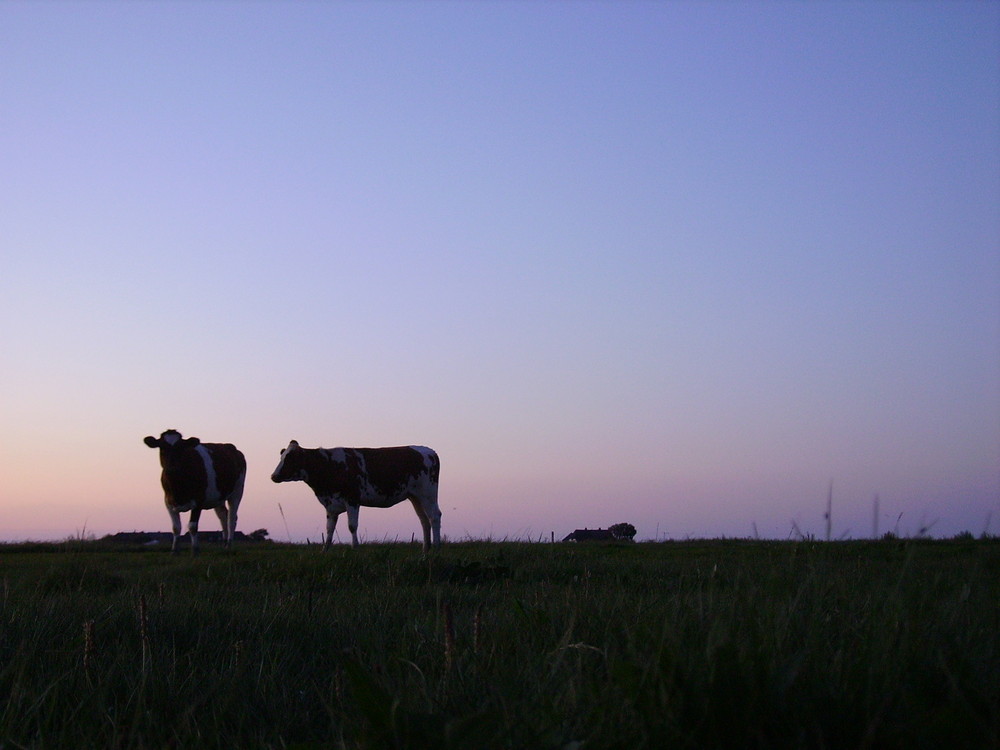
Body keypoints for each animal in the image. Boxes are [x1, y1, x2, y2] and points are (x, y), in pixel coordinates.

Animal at [272, 440, 440, 552]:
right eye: (282, 457)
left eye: (290, 458)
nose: (273, 476)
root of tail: (429, 451)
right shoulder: (331, 505)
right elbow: (329, 528)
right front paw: (325, 550)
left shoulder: (352, 499)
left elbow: (352, 526)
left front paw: (355, 548)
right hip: (415, 497)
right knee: (424, 520)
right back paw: (425, 550)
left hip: (428, 494)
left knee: (434, 516)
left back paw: (436, 548)